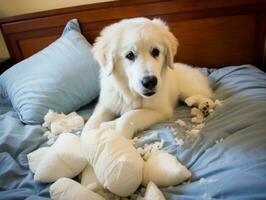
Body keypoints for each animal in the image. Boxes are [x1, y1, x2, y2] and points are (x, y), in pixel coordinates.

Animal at [84, 18, 213, 138]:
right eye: (130, 55)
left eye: (155, 51)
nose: (150, 82)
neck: (131, 93)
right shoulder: (106, 104)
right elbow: (92, 122)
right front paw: (87, 138)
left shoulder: (160, 111)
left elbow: (129, 116)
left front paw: (118, 135)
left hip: (187, 88)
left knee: (208, 96)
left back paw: (205, 105)